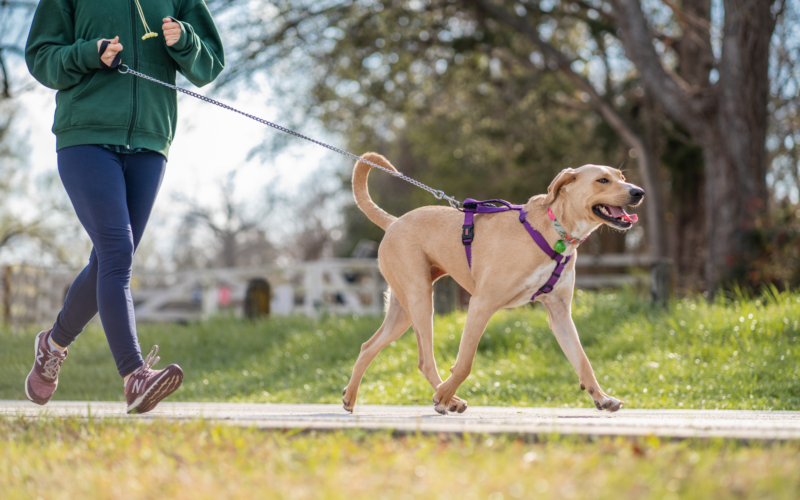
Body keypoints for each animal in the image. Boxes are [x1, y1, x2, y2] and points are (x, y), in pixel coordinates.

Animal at [342, 153, 644, 414]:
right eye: (602, 180)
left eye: (621, 176)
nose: (638, 192)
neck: (556, 231)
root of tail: (393, 222)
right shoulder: (481, 304)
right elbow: (465, 363)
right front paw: (444, 396)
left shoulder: (559, 314)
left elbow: (582, 360)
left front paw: (601, 398)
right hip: (420, 299)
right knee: (425, 360)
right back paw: (448, 398)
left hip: (402, 310)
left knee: (368, 346)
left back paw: (350, 397)